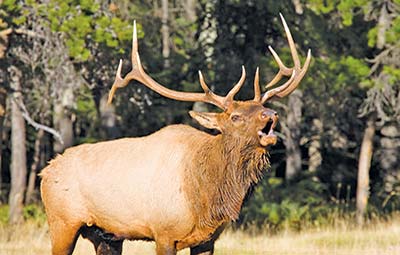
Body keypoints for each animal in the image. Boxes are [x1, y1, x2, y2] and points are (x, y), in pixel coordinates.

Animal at [39, 13, 310, 255]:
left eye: (264, 107)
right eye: (235, 117)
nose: (271, 114)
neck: (207, 197)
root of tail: (46, 171)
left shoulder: (208, 239)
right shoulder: (164, 234)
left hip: (106, 234)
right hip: (61, 222)